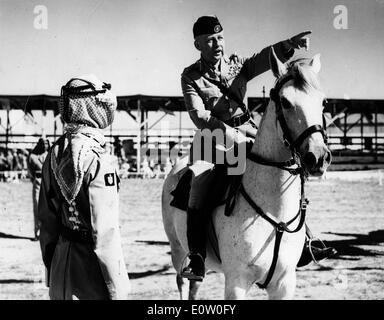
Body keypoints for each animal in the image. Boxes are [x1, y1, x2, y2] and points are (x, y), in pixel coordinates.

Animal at [160, 48, 332, 300]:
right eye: (285, 102)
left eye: (323, 102)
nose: (318, 157)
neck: (274, 212)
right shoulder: (236, 283)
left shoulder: (284, 283)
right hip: (178, 250)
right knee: (182, 281)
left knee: (194, 286)